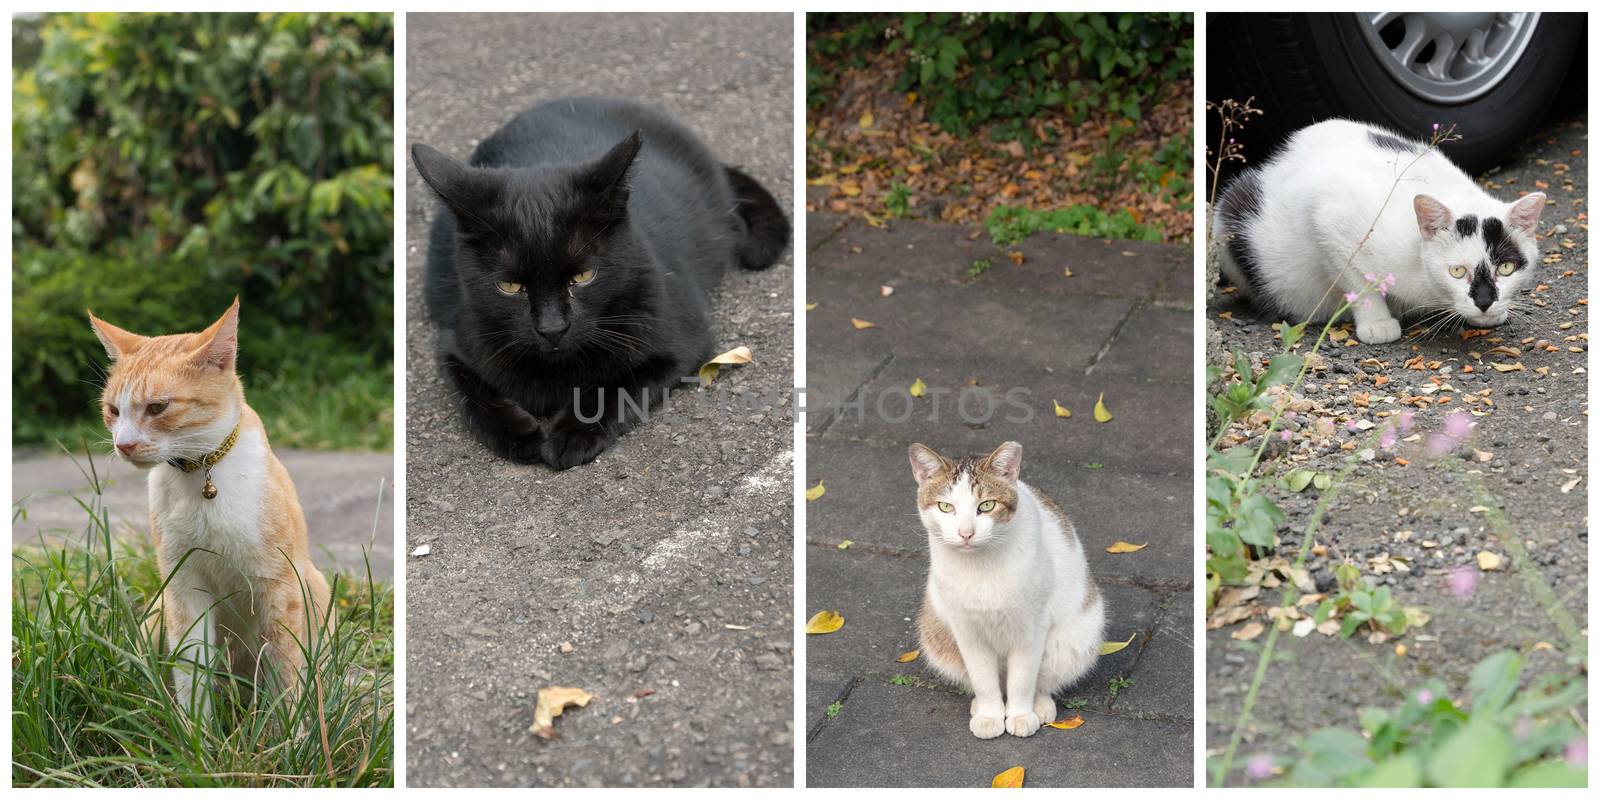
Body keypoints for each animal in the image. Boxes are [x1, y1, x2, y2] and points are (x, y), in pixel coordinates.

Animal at [89, 300, 332, 720]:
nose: (123, 445)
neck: (202, 472)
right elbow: (190, 669)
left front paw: (290, 733)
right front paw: (195, 732)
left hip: (312, 589)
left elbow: (287, 673)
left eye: (157, 407)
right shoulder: (183, 585)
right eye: (113, 411)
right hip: (157, 613)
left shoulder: (280, 586)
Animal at [412, 95, 787, 467]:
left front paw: (571, 434)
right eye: (510, 287)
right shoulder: (455, 342)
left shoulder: (682, 343)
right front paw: (520, 435)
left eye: (583, 276)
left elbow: (617, 386)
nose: (552, 328)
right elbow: (473, 398)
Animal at [908, 441, 1107, 739]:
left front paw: (1021, 714)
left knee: (1041, 679)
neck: (981, 567)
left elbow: (1022, 679)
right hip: (937, 633)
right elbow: (982, 678)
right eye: (945, 507)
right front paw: (990, 715)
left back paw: (1039, 705)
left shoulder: (1031, 627)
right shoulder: (966, 629)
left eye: (986, 505)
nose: (966, 533)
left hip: (1074, 638)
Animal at [1209, 116, 1548, 342]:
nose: (1484, 301)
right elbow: (1359, 281)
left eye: (1506, 268)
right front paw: (1377, 323)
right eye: (1456, 271)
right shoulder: (1331, 221)